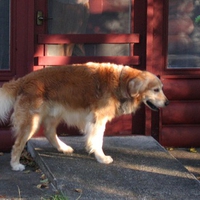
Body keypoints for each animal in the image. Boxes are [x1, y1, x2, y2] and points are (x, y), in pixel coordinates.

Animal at [0, 62, 169, 170]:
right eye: (156, 90)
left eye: (162, 88)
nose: (167, 103)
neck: (122, 82)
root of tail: (24, 80)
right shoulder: (98, 119)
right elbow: (98, 140)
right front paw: (101, 157)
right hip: (31, 122)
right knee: (18, 144)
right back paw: (15, 165)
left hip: (55, 113)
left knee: (49, 132)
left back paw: (63, 148)